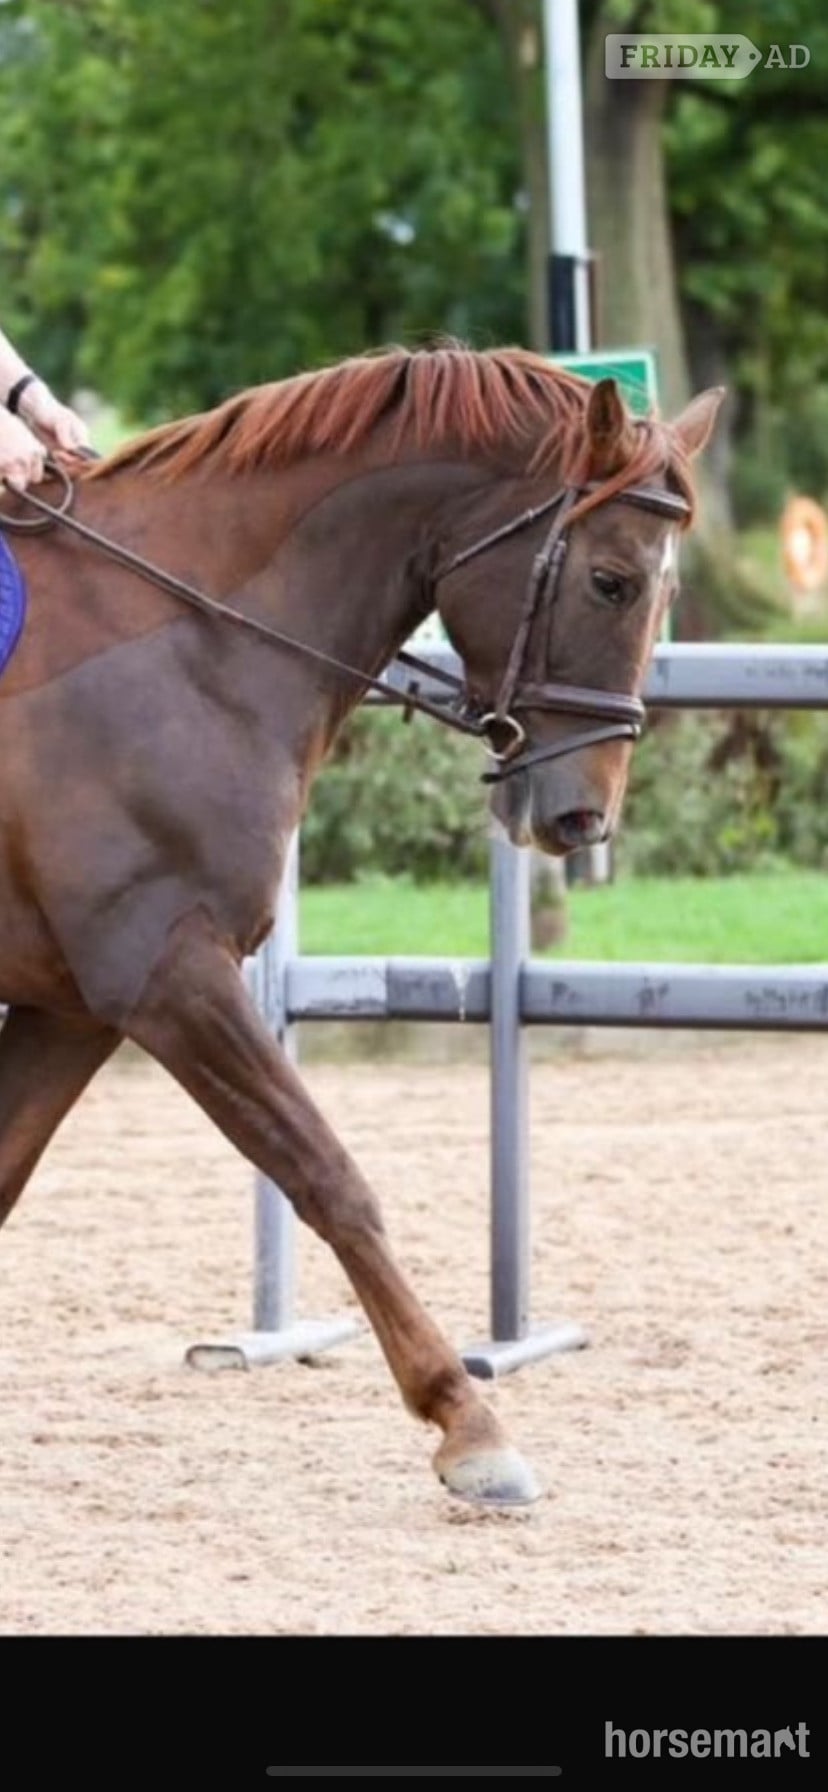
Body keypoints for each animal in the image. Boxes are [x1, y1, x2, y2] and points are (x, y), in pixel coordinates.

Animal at [0, 345, 722, 1505]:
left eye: (666, 590)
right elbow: (326, 1172)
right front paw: (470, 1424)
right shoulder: (170, 972)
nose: (583, 818)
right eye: (610, 579)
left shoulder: (76, 1004)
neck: (185, 640)